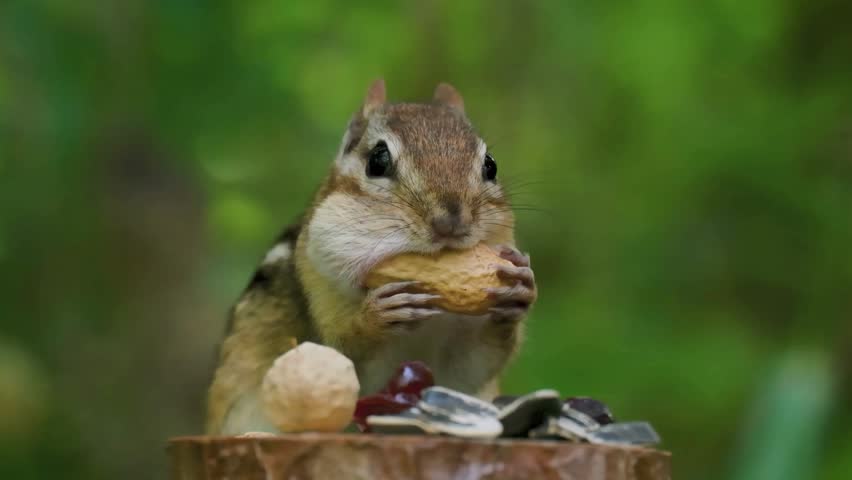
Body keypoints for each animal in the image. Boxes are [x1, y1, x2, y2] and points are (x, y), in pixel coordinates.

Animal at [206, 80, 537, 434]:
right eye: (378, 161)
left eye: (491, 165)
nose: (451, 222)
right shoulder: (319, 294)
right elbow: (343, 358)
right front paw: (377, 316)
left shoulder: (461, 361)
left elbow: (475, 364)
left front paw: (519, 289)